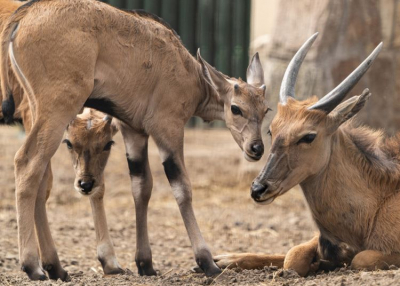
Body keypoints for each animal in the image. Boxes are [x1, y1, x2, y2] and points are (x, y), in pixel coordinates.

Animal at [0, 0, 268, 280]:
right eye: (236, 108)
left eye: (266, 110)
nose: (256, 148)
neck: (190, 73)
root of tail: (25, 14)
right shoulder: (168, 129)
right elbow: (182, 189)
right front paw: (207, 261)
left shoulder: (133, 131)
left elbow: (141, 187)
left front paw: (145, 262)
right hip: (56, 111)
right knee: (26, 163)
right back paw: (32, 265)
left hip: (38, 113)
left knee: (41, 177)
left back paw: (54, 266)